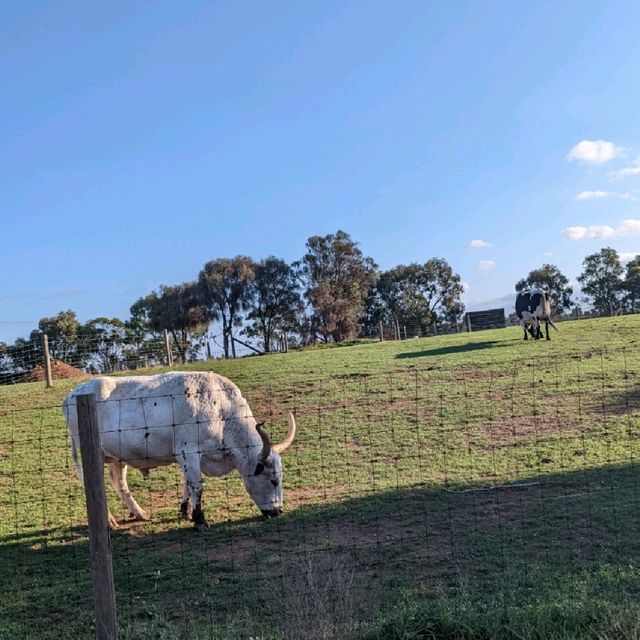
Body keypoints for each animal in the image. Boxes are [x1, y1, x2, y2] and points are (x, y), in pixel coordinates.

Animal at [62, 372, 298, 528]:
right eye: (273, 480)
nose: (278, 511)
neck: (222, 410)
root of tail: (73, 394)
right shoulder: (189, 452)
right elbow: (197, 486)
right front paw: (200, 519)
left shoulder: (190, 458)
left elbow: (187, 483)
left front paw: (186, 510)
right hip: (93, 456)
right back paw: (109, 520)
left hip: (117, 458)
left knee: (120, 484)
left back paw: (139, 513)